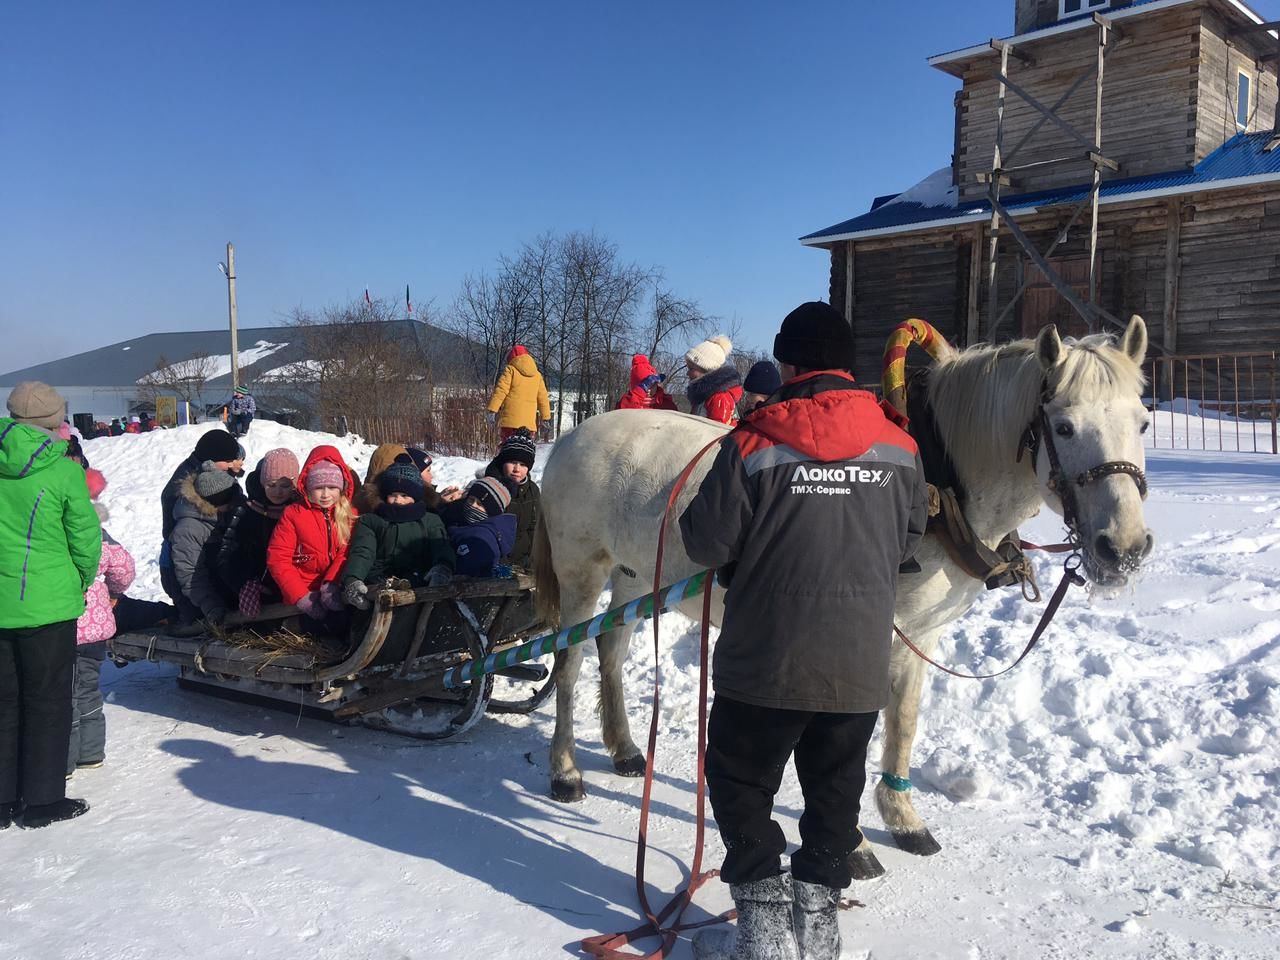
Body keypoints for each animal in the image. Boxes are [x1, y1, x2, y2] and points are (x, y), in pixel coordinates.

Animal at [527, 320, 1152, 875]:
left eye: (1143, 422)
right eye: (1064, 426)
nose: (1124, 548)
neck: (941, 487)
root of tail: (572, 435)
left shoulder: (919, 633)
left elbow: (904, 721)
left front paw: (902, 818)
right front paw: (852, 845)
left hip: (637, 577)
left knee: (610, 649)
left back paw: (626, 750)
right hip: (582, 572)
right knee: (569, 659)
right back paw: (566, 770)